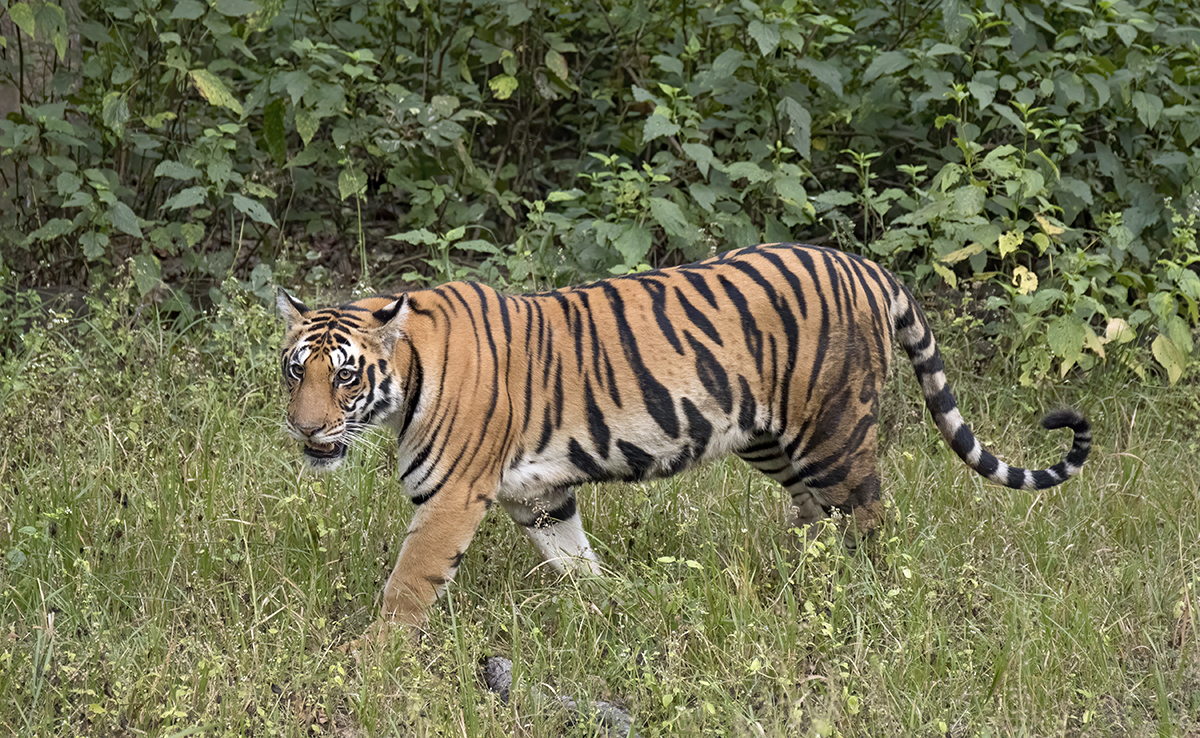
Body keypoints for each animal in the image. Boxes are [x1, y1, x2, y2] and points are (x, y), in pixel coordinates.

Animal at [276, 242, 1094, 633]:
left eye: (345, 377)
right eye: (294, 371)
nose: (305, 428)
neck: (406, 380)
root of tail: (866, 266)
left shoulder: (451, 498)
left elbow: (408, 584)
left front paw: (374, 658)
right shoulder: (538, 495)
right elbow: (574, 559)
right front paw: (610, 606)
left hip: (834, 434)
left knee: (871, 518)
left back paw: (865, 596)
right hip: (771, 439)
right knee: (815, 516)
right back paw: (795, 581)